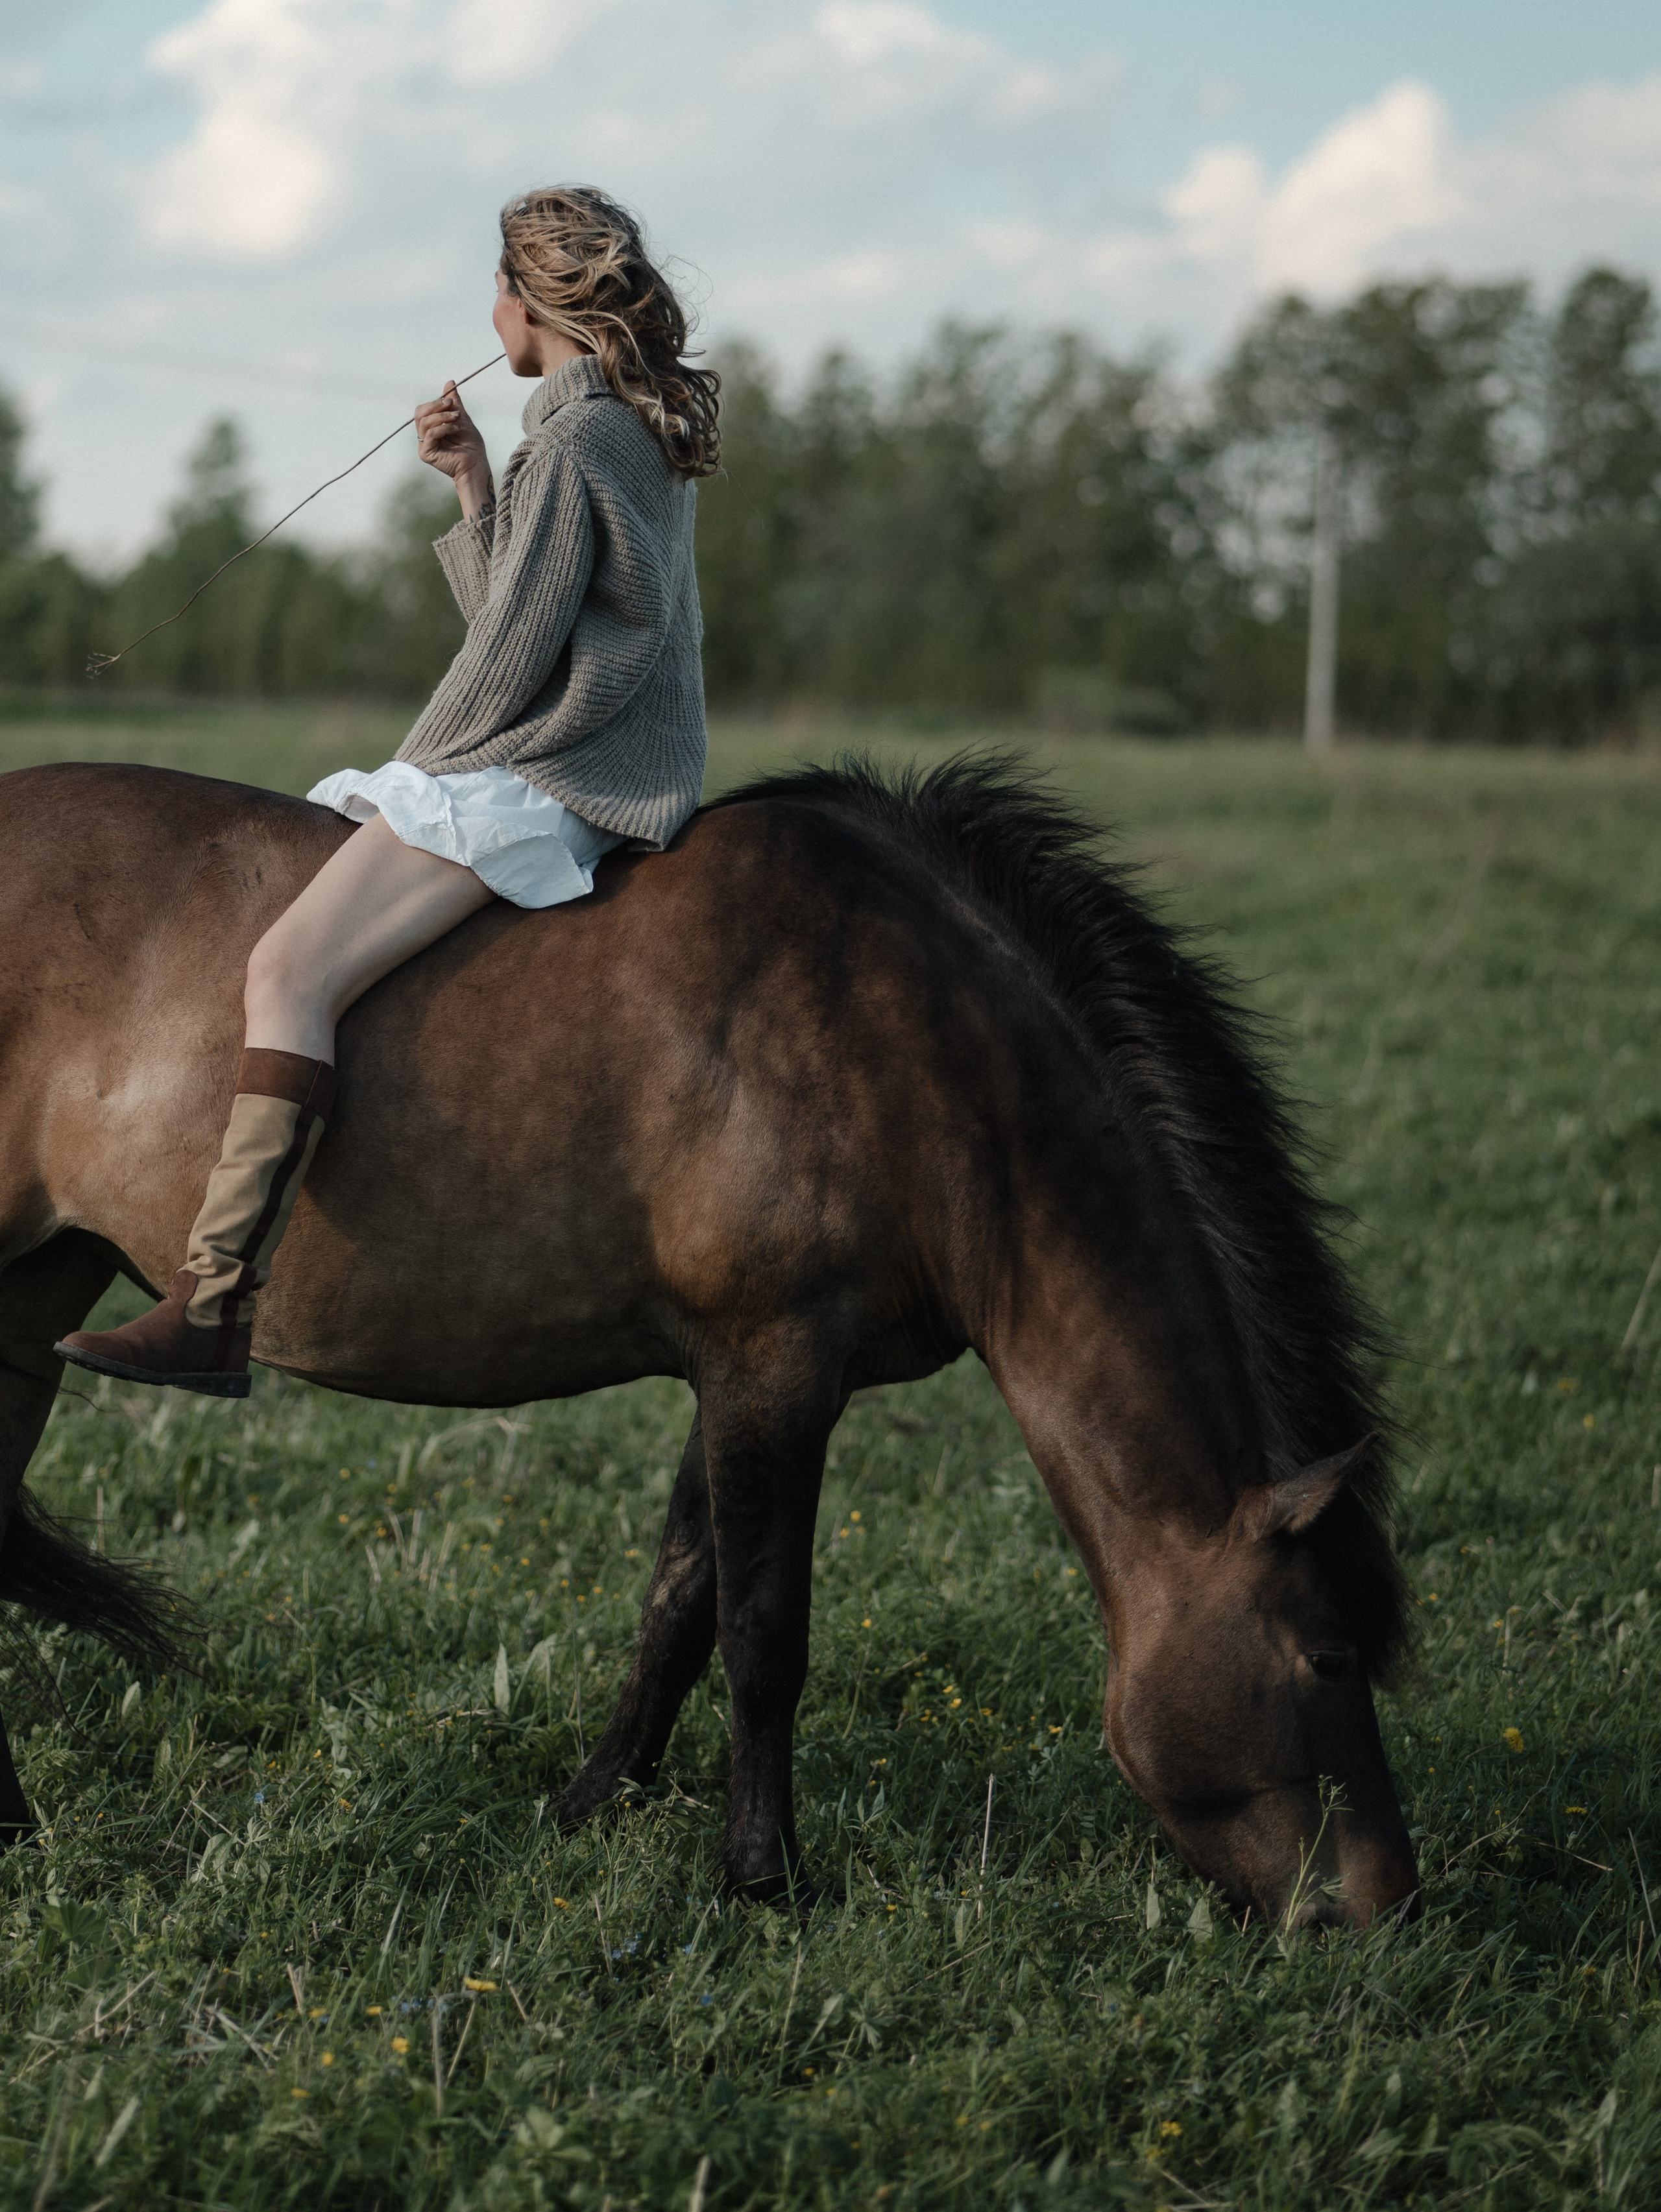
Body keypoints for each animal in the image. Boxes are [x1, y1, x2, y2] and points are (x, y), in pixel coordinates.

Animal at [0, 753, 1416, 1927]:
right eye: (1328, 1654)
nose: (1384, 1906)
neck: (926, 1055)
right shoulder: (773, 1364)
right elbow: (763, 1630)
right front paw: (761, 1876)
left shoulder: (740, 1370)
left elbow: (680, 1599)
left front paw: (593, 1802)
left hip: (44, 1284)